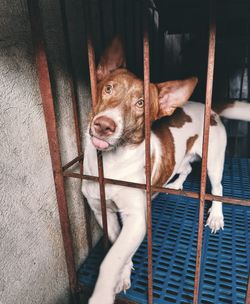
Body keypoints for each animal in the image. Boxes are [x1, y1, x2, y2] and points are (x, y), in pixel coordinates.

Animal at [82, 38, 250, 304]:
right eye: (108, 89)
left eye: (141, 103)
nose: (104, 125)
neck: (112, 164)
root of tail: (208, 107)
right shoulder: (101, 210)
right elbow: (117, 245)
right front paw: (124, 274)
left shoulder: (136, 218)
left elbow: (110, 260)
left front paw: (103, 291)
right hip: (184, 158)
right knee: (187, 167)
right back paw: (175, 185)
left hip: (214, 160)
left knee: (217, 187)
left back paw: (215, 215)